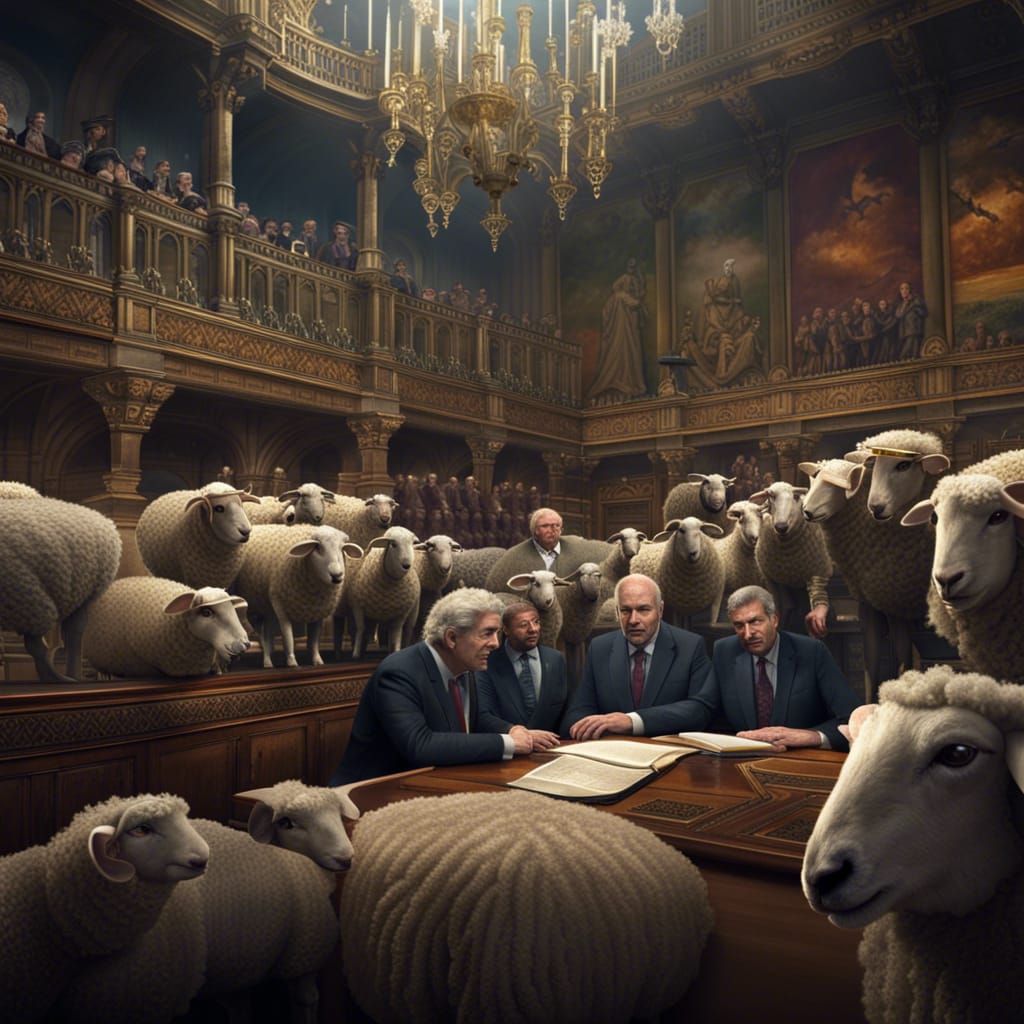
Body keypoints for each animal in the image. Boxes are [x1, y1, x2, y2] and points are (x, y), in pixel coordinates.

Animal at [233, 524, 363, 668]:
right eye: (318, 547)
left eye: (342, 548)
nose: (337, 575)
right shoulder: (279, 603)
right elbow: (288, 635)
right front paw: (292, 661)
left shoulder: (318, 611)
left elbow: (314, 639)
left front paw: (317, 660)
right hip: (255, 607)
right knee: (261, 634)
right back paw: (266, 661)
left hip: (266, 608)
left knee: (266, 632)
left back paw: (269, 656)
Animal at [341, 525, 421, 658]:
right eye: (393, 544)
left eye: (412, 543)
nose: (406, 565)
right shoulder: (358, 607)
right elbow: (361, 628)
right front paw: (356, 653)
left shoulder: (402, 613)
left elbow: (397, 632)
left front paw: (397, 651)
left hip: (413, 611)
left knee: (407, 630)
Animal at [751, 481, 832, 635]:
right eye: (771, 496)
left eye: (795, 497)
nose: (781, 526)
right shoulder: (771, 579)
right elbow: (780, 607)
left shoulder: (817, 569)